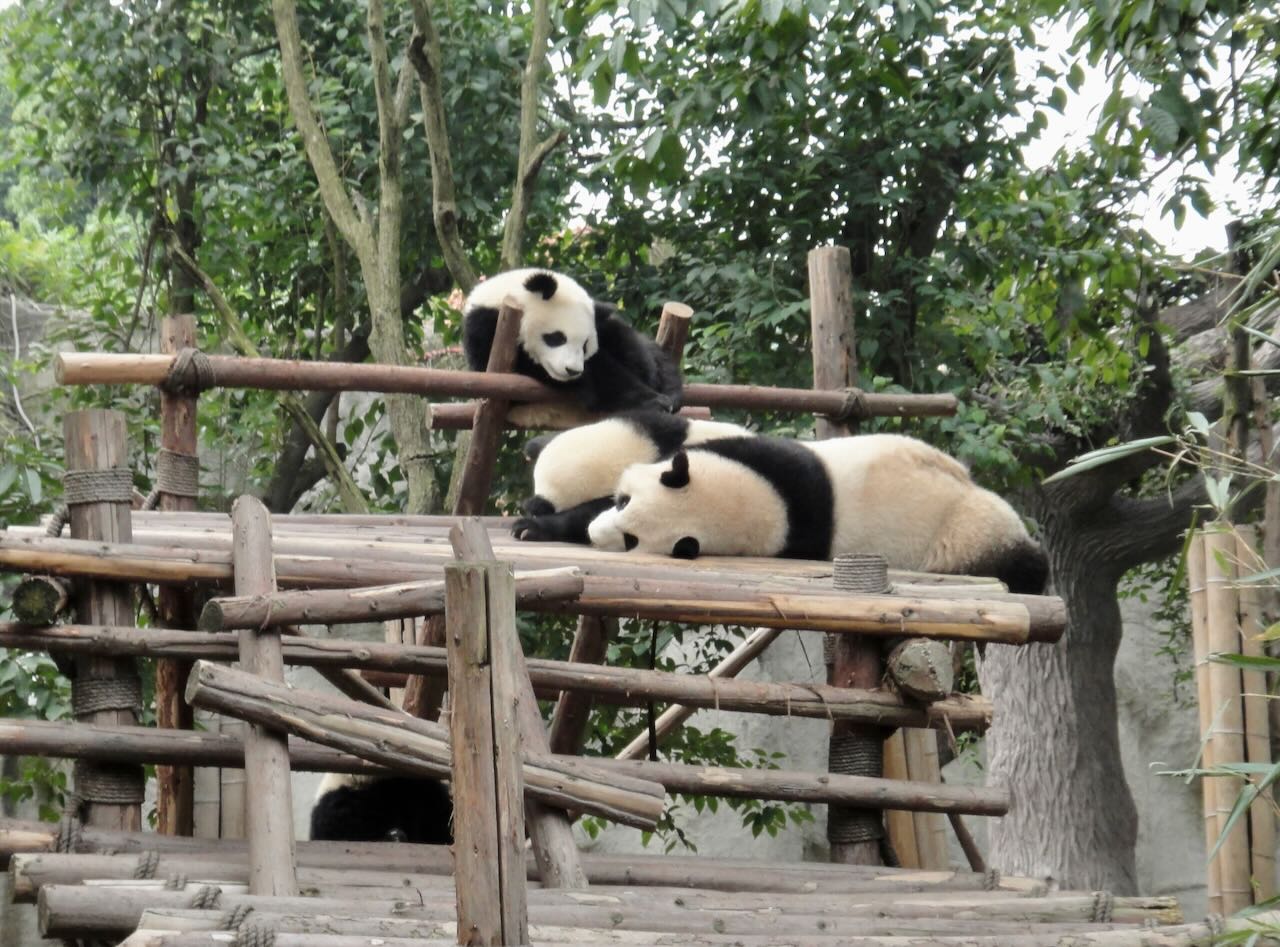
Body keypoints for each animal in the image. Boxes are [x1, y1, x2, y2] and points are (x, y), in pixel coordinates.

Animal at [462, 268, 683, 414]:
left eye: (585, 346)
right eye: (557, 338)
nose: (572, 371)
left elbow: (630, 347)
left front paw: (663, 392)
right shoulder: (486, 327)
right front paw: (650, 401)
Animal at [585, 433, 1049, 594]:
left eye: (631, 540)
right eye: (622, 501)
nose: (594, 534)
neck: (775, 503)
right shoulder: (768, 455)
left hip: (966, 529)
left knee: (1017, 558)